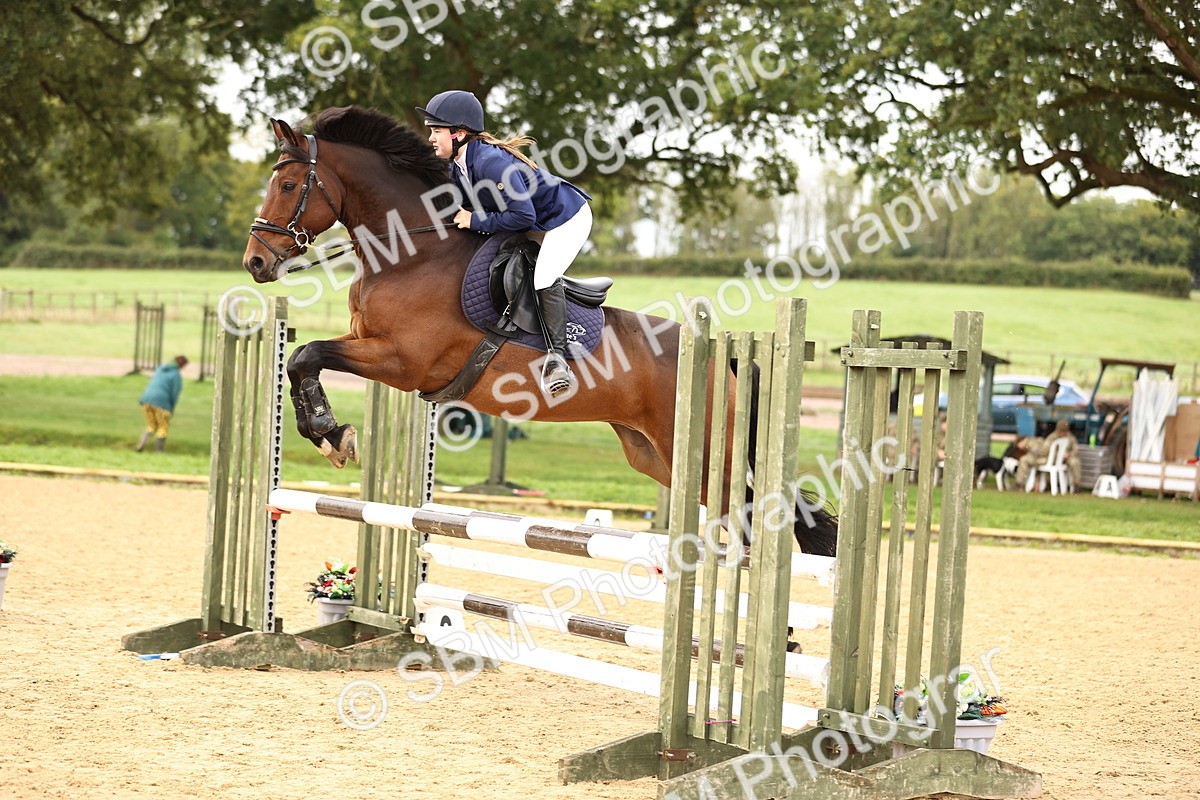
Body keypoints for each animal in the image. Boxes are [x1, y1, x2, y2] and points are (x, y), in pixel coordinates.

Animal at [240, 105, 837, 557]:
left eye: (288, 184)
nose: (255, 263)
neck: (411, 252)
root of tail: (724, 357)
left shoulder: (403, 361)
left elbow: (309, 354)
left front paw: (330, 431)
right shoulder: (377, 351)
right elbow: (301, 359)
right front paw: (327, 433)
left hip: (706, 452)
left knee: (751, 520)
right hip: (655, 456)